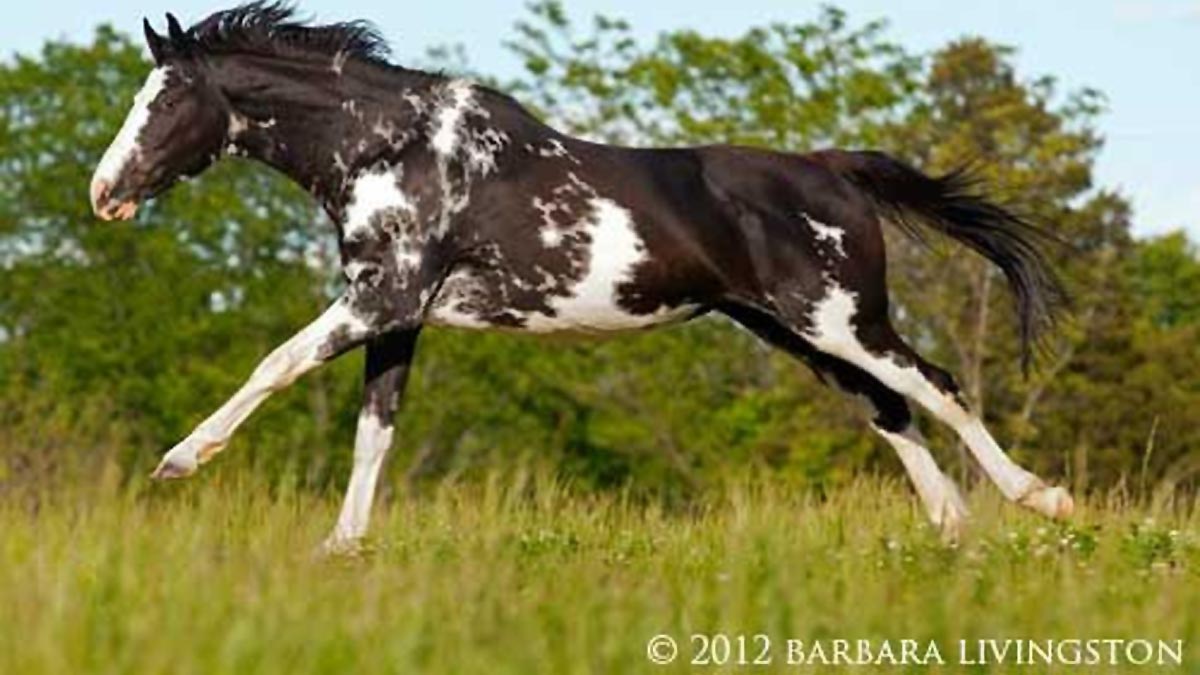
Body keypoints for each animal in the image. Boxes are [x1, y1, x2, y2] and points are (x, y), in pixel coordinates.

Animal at [88, 3, 1075, 552]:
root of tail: (833, 168)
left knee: (938, 387)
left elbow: (275, 365)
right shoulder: (398, 317)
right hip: (796, 331)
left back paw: (1042, 499)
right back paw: (954, 530)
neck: (392, 146)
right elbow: (375, 433)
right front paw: (342, 546)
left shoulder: (379, 300)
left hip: (841, 318)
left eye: (166, 101)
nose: (103, 192)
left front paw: (180, 460)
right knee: (891, 409)